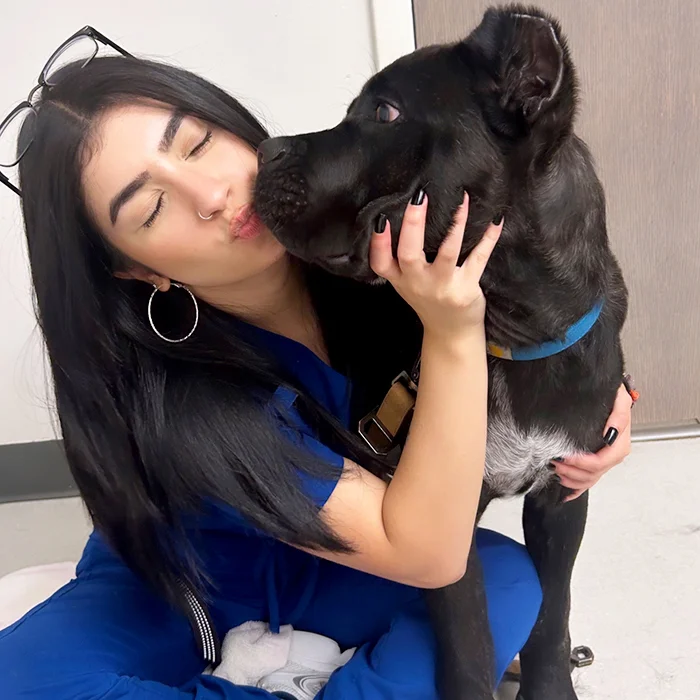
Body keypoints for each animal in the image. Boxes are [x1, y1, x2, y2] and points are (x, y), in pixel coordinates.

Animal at [254, 5, 628, 700]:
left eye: (385, 113)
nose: (265, 150)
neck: (509, 333)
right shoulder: (448, 527)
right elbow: (468, 648)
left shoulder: (562, 499)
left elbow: (551, 616)